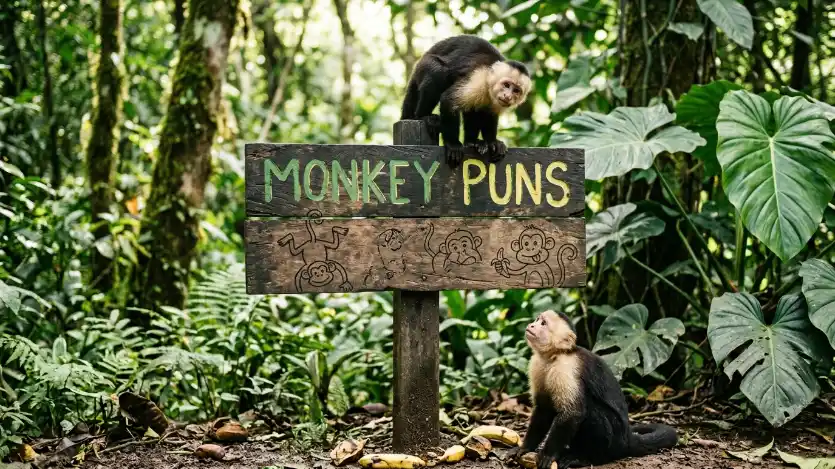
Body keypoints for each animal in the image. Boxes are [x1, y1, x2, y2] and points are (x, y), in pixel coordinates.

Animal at [400, 35, 532, 167]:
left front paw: (492, 141)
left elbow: (489, 114)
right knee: (438, 72)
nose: (508, 96)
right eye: (506, 85)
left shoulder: (497, 101)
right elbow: (449, 101)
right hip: (423, 66)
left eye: (516, 90)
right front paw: (453, 144)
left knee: (474, 108)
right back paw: (424, 116)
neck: (489, 84)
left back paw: (472, 142)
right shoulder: (477, 79)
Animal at [507, 310, 677, 469]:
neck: (554, 355)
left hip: (614, 442)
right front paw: (525, 448)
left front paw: (548, 455)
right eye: (537, 320)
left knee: (592, 411)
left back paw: (586, 458)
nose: (531, 325)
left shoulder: (566, 368)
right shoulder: (537, 365)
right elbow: (543, 409)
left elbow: (572, 412)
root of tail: (627, 438)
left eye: (543, 323)